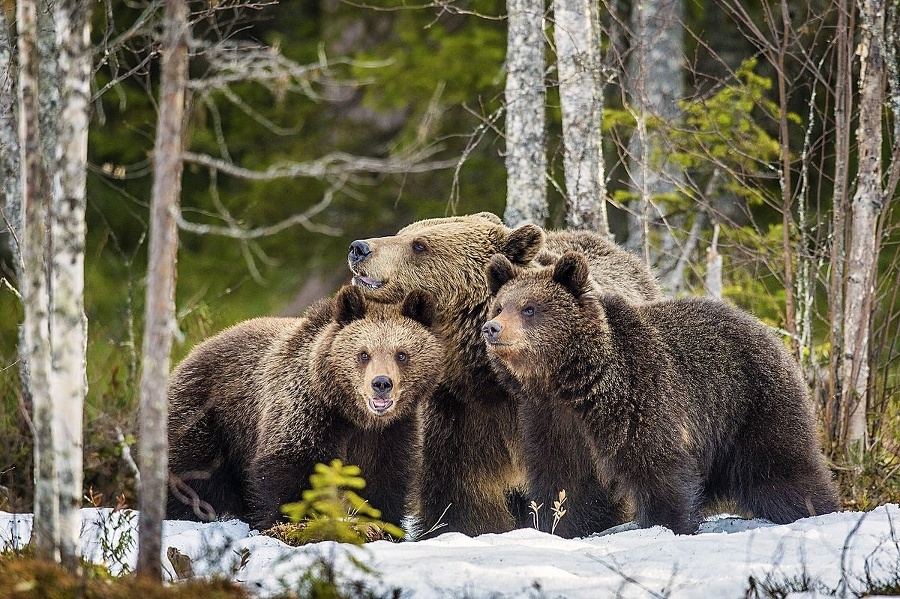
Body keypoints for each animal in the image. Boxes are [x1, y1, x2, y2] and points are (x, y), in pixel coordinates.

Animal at [167, 284, 444, 528]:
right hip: (207, 418)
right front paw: (291, 519)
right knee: (188, 475)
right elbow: (290, 468)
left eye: (402, 354)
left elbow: (384, 478)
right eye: (363, 354)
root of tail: (189, 355)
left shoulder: (391, 431)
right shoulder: (306, 411)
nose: (381, 383)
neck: (352, 414)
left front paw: (381, 523)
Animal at [344, 213, 660, 536]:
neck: (488, 377)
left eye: (420, 245)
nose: (359, 248)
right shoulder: (463, 414)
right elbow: (463, 493)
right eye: (404, 232)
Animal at [482, 251, 840, 536]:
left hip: (752, 405)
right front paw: (556, 527)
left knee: (782, 468)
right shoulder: (549, 420)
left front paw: (667, 524)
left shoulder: (638, 399)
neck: (572, 384)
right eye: (499, 306)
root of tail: (768, 332)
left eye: (529, 308)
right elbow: (562, 481)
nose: (492, 328)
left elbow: (657, 467)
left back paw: (817, 509)